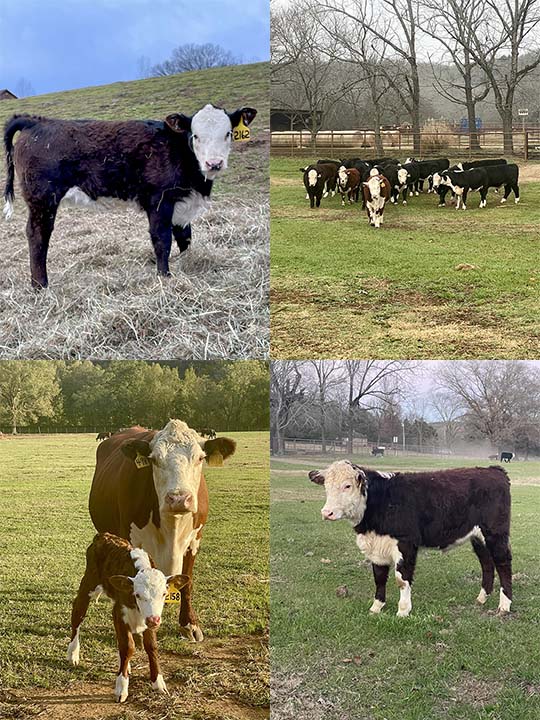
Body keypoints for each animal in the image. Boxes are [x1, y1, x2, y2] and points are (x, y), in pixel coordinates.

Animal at [2, 105, 257, 288]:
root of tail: (35, 121)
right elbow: (162, 240)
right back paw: (40, 285)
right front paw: (164, 277)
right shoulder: (159, 201)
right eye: (195, 135)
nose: (214, 163)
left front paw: (188, 264)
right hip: (43, 199)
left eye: (228, 134)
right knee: (37, 235)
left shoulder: (181, 204)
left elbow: (185, 238)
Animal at [67, 532, 188, 703]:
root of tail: (103, 535)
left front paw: (158, 682)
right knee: (78, 614)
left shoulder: (146, 618)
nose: (154, 620)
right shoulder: (120, 612)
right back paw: (73, 654)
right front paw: (121, 687)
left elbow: (151, 646)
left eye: (164, 594)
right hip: (88, 584)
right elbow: (128, 647)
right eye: (137, 595)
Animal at [88, 420, 236, 641]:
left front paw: (189, 623)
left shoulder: (195, 540)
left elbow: (187, 582)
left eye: (200, 458)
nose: (179, 498)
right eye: (154, 460)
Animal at [309, 461, 512, 617]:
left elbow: (401, 579)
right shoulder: (377, 547)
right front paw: (376, 607)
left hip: (496, 533)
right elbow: (379, 577)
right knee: (487, 563)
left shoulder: (405, 543)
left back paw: (504, 605)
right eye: (326, 486)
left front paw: (403, 611)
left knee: (503, 563)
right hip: (478, 538)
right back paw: (482, 598)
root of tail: (493, 470)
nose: (327, 513)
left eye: (347, 485)